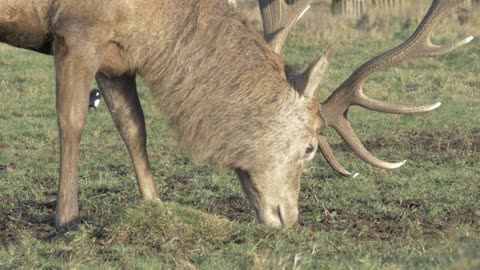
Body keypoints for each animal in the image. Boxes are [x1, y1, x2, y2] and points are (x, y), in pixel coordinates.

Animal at [0, 0, 472, 228]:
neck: (152, 19)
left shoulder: (118, 57)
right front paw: (66, 217)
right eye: (309, 149)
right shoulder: (77, 31)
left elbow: (134, 126)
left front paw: (156, 204)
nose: (289, 219)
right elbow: (72, 122)